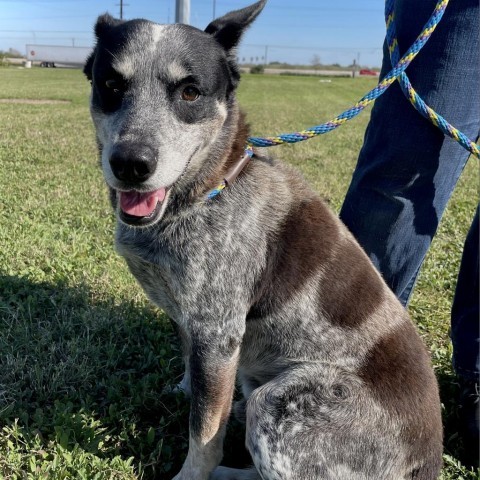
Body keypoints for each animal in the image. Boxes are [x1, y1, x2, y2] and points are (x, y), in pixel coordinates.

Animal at [84, 1, 444, 478]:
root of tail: (427, 464)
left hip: (279, 403)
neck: (207, 190)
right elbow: (194, 377)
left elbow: (204, 433)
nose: (130, 163)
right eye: (111, 84)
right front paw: (183, 390)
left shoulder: (217, 330)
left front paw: (193, 472)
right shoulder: (196, 324)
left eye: (190, 93)